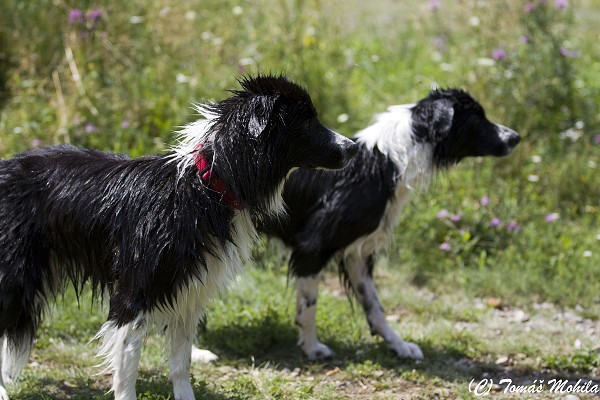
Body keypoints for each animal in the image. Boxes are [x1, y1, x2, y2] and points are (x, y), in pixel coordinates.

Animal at [0, 76, 356, 400]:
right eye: (307, 121)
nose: (353, 147)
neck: (207, 185)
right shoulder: (134, 292)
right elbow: (127, 368)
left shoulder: (189, 291)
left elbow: (181, 363)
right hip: (14, 277)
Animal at [262, 89, 520, 360]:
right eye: (478, 118)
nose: (516, 137)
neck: (387, 163)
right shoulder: (312, 246)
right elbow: (309, 306)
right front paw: (311, 347)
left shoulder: (358, 254)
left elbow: (376, 307)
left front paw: (398, 344)